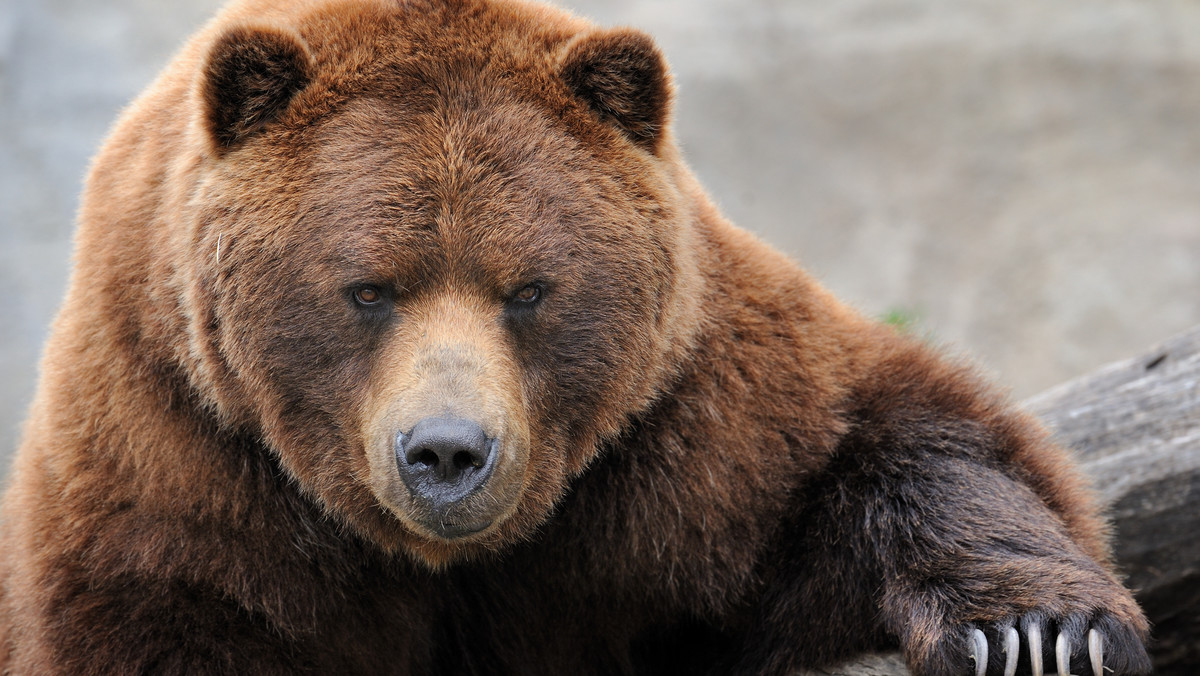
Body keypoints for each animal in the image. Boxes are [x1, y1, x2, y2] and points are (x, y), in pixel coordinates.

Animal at [0, 1, 1152, 676]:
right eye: (368, 289)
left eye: (529, 289)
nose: (449, 453)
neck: (448, 559)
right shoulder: (183, 459)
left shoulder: (685, 430)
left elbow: (897, 441)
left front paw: (1037, 633)